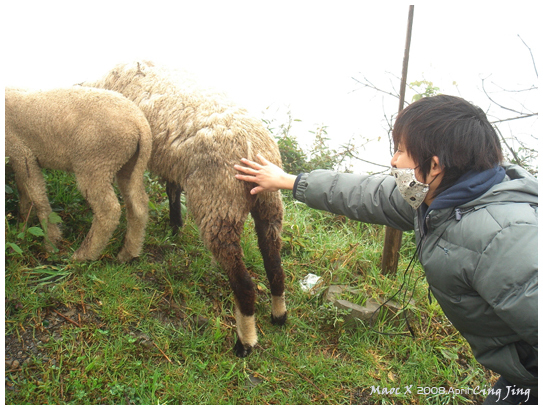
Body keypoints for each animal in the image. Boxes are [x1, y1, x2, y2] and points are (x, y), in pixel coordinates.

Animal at [4, 86, 153, 262]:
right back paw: (128, 253)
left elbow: (38, 198)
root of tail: (140, 122)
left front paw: (51, 242)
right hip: (129, 164)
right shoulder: (19, 159)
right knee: (138, 205)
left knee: (108, 210)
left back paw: (84, 255)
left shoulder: (21, 153)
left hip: (95, 163)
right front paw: (22, 225)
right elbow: (24, 193)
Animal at [83, 60, 286, 356]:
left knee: (245, 285)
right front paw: (175, 226)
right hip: (269, 205)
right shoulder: (173, 165)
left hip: (218, 205)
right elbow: (172, 190)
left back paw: (244, 342)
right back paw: (279, 315)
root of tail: (252, 145)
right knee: (274, 265)